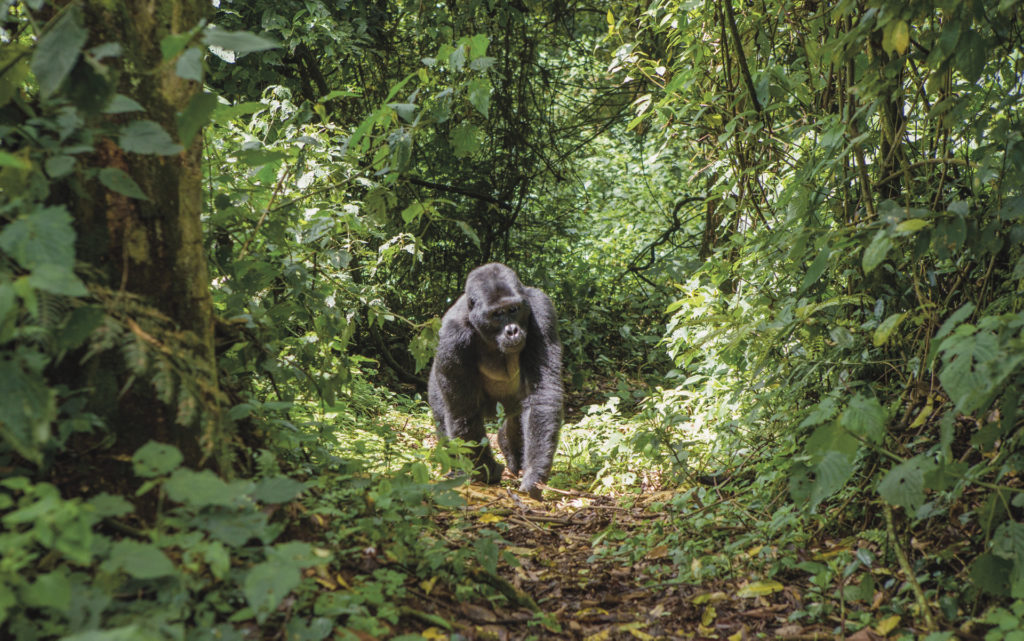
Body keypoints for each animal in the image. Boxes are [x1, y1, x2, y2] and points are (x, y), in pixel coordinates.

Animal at [428, 262, 565, 497]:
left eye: (513, 310)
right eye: (497, 314)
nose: (512, 331)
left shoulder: (541, 309)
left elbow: (541, 394)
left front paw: (534, 474)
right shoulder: (451, 336)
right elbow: (463, 411)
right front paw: (487, 472)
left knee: (517, 418)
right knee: (444, 415)